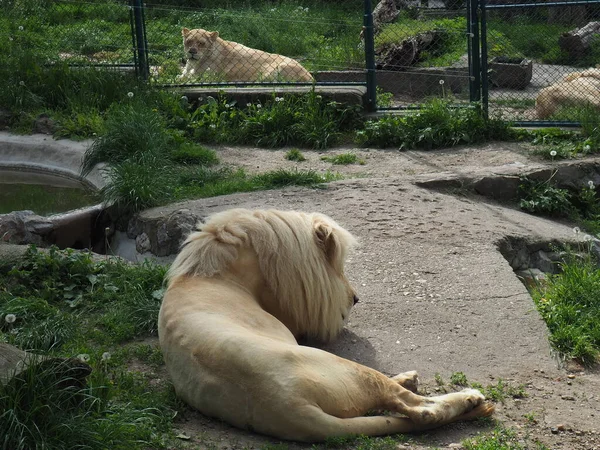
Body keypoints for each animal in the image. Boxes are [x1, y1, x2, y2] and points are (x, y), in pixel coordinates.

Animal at [157, 209, 494, 442]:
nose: (356, 298)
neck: (208, 275)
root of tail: (290, 407)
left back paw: (409, 379)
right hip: (347, 368)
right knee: (420, 410)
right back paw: (469, 397)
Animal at [178, 27, 314, 82]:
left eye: (201, 43)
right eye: (189, 42)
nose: (192, 52)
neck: (193, 63)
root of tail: (310, 77)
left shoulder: (209, 77)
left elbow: (188, 78)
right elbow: (181, 75)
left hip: (277, 69)